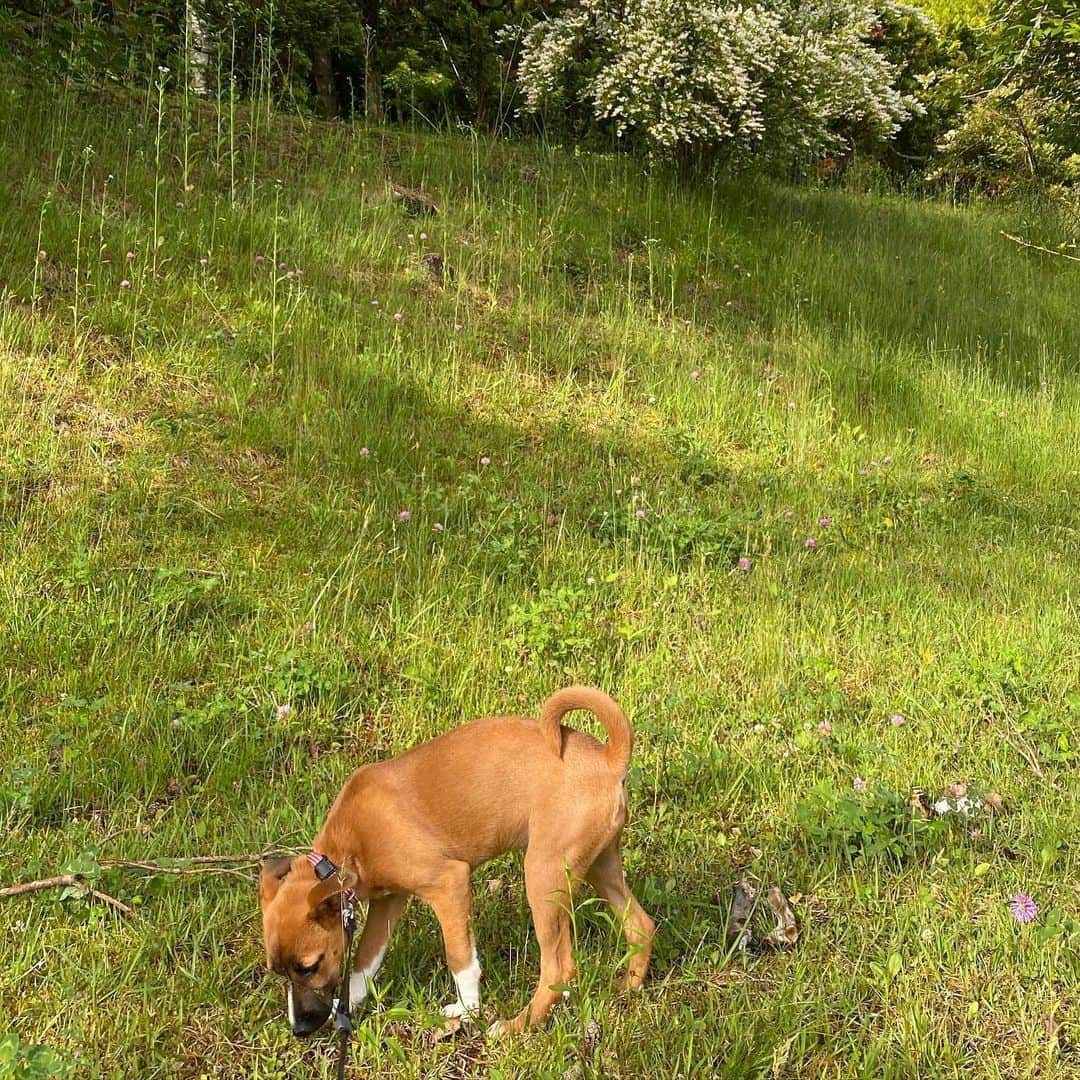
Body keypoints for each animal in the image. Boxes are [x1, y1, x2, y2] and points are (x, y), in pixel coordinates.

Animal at [261, 686, 652, 1032]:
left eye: (309, 966)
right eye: (279, 971)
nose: (300, 1029)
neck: (350, 845)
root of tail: (608, 761)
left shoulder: (450, 885)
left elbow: (460, 959)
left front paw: (467, 1010)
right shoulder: (389, 901)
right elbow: (364, 961)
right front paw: (348, 1005)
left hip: (544, 876)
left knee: (559, 968)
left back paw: (516, 1026)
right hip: (598, 865)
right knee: (641, 925)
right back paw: (627, 987)